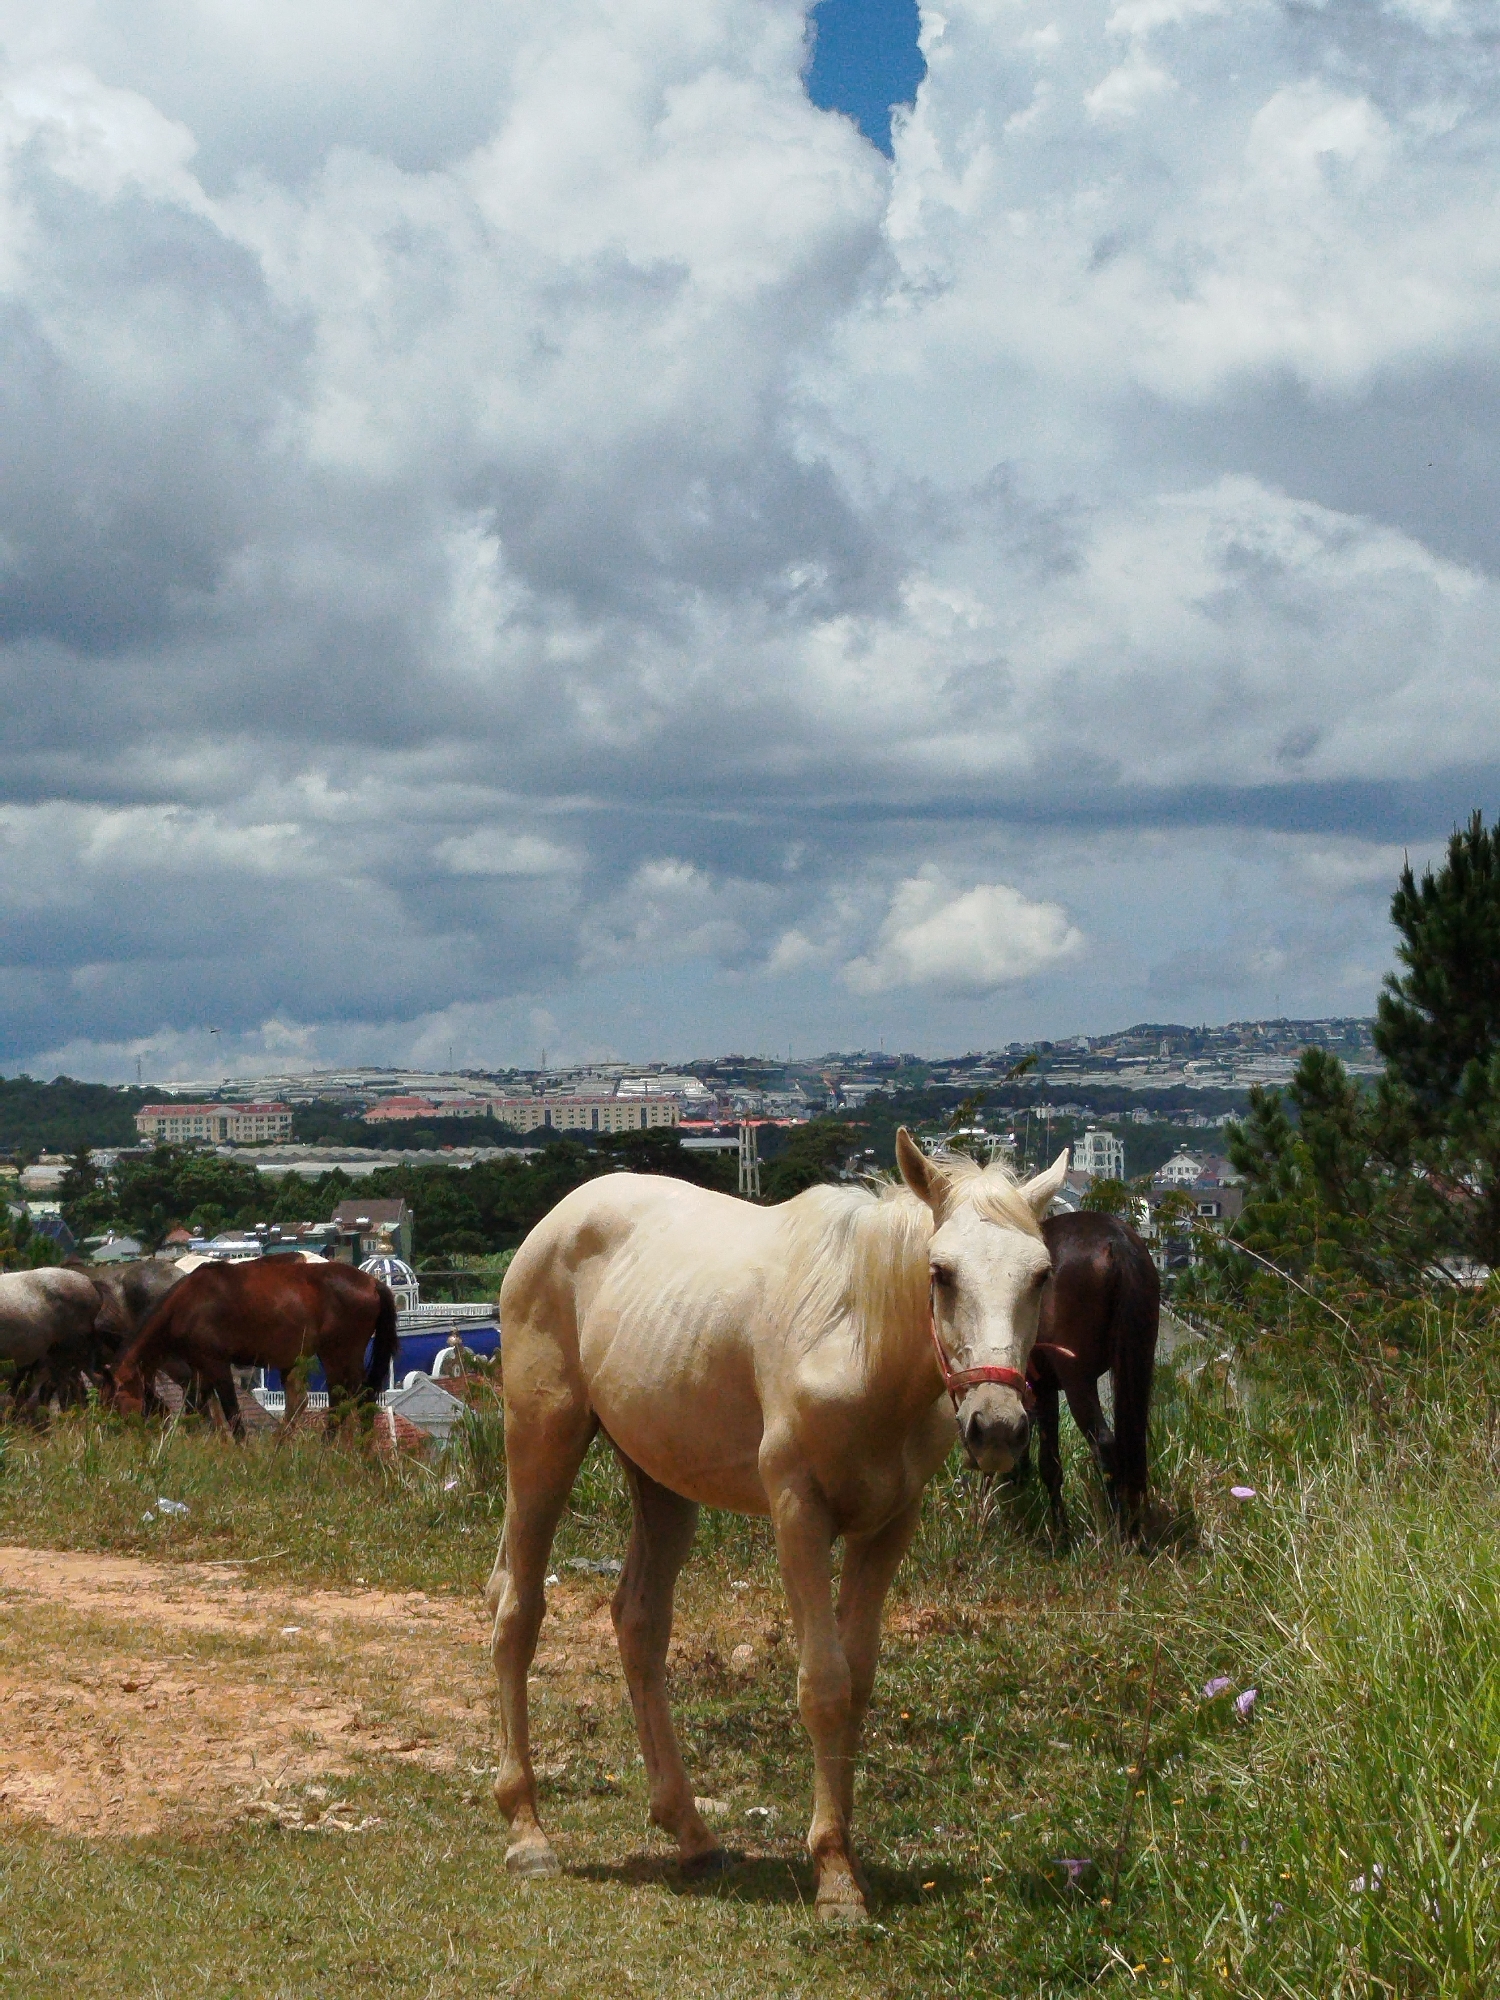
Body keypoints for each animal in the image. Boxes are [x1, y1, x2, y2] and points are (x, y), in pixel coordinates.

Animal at [106, 1259, 398, 1438]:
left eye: (120, 1397)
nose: (121, 1429)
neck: (188, 1303)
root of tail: (373, 1283)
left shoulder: (217, 1365)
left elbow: (232, 1412)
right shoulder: (200, 1368)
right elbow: (194, 1407)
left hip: (338, 1353)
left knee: (345, 1400)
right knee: (362, 1398)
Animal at [485, 1129, 1070, 1922]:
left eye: (1040, 1275)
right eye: (941, 1273)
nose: (998, 1427)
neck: (859, 1344)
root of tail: (553, 1224)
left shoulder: (888, 1525)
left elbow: (856, 1682)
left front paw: (847, 1853)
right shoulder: (798, 1512)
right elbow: (822, 1683)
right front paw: (833, 1879)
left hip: (662, 1482)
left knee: (639, 1623)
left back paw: (690, 1832)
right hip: (541, 1442)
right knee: (518, 1612)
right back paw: (527, 1832)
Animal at [1022, 1209, 1160, 1539]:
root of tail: (1116, 1243)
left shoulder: (1043, 1386)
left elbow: (1049, 1463)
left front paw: (1060, 1533)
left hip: (1077, 1378)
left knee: (1105, 1444)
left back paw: (1118, 1533)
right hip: (1138, 1361)